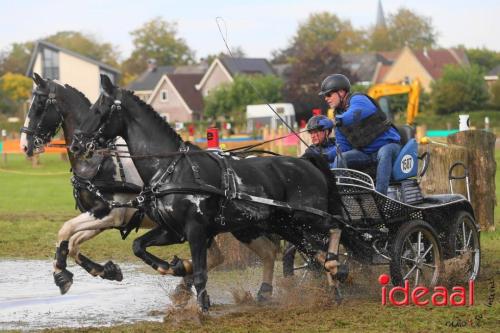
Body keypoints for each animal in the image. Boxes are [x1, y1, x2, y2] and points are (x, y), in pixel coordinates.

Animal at [21, 74, 282, 300]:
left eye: (39, 104)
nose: (25, 144)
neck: (99, 162)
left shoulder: (110, 214)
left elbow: (65, 231)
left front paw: (61, 274)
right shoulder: (103, 219)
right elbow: (73, 243)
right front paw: (107, 271)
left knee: (248, 253)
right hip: (236, 226)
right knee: (239, 254)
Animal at [70, 74, 342, 308]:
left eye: (98, 111)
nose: (75, 144)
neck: (171, 168)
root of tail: (308, 163)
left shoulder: (196, 230)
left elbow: (201, 274)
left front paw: (201, 307)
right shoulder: (173, 230)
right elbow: (138, 246)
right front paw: (176, 267)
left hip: (306, 219)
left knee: (334, 231)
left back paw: (337, 271)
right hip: (280, 225)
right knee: (304, 253)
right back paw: (323, 286)